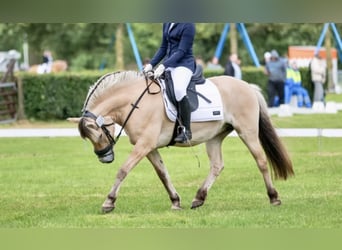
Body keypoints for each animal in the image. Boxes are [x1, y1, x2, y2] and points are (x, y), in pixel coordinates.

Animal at [67, 70, 294, 213]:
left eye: (98, 134)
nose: (104, 158)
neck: (135, 102)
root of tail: (247, 86)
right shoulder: (149, 147)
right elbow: (163, 174)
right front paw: (176, 202)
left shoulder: (144, 145)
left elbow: (123, 170)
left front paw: (109, 202)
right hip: (215, 137)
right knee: (217, 166)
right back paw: (199, 198)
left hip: (247, 132)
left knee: (261, 161)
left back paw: (274, 197)